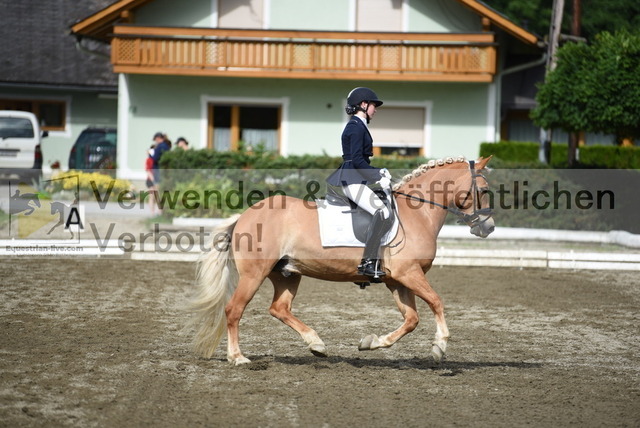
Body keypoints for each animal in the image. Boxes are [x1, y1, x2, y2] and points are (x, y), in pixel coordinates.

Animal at [190, 156, 494, 365]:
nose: (488, 228)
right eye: (483, 190)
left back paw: (316, 344)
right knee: (234, 310)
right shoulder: (409, 274)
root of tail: (244, 215)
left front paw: (371, 343)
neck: (417, 213)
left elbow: (411, 320)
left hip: (287, 273)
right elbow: (436, 302)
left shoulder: (398, 280)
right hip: (255, 274)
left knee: (279, 308)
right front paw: (439, 346)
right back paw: (238, 357)